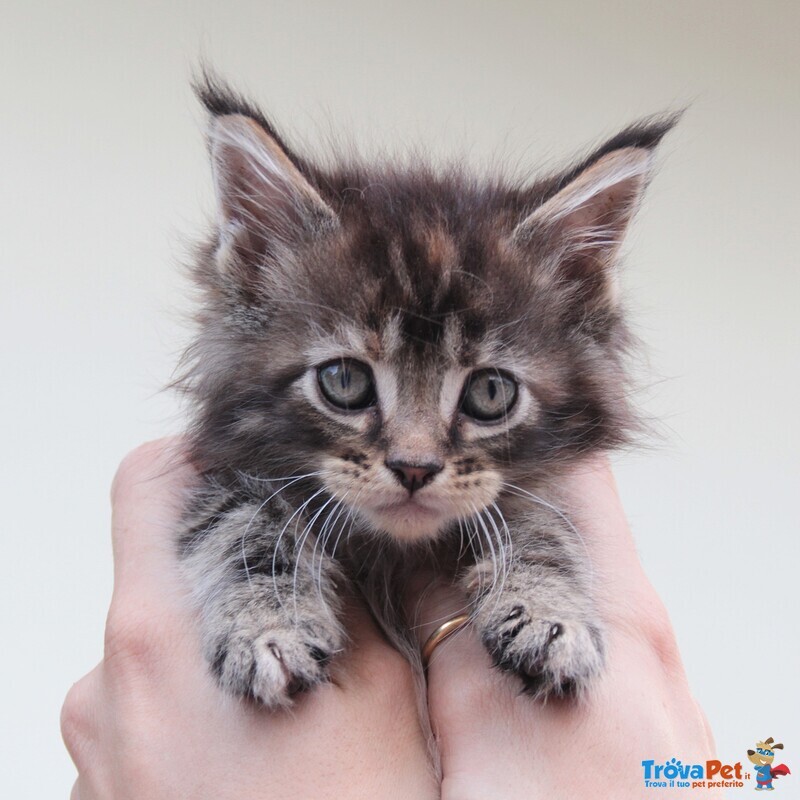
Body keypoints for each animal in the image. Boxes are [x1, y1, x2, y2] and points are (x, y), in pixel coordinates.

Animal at [177, 75, 676, 708]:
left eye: (491, 391)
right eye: (345, 382)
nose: (414, 468)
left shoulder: (539, 486)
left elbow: (543, 527)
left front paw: (548, 615)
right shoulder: (221, 472)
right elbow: (244, 526)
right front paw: (270, 624)